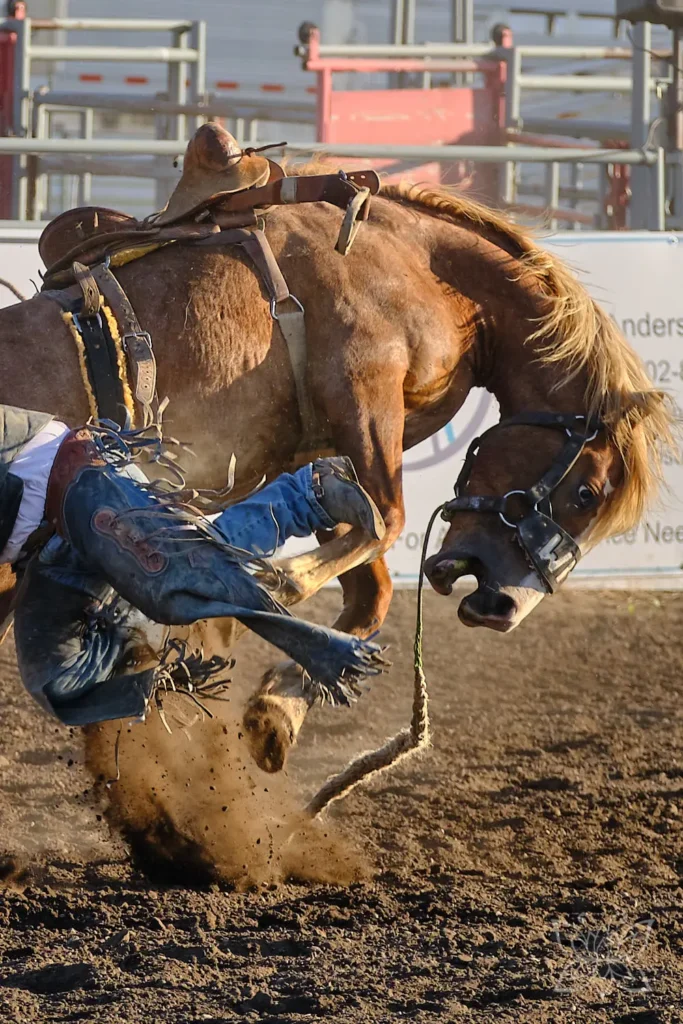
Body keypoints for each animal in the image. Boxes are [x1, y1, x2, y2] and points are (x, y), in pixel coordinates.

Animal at [0, 180, 672, 775]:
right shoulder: (364, 395)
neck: (420, 264)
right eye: (586, 492)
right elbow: (386, 518)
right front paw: (277, 584)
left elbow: (369, 585)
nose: (504, 607)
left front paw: (278, 711)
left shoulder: (319, 442)